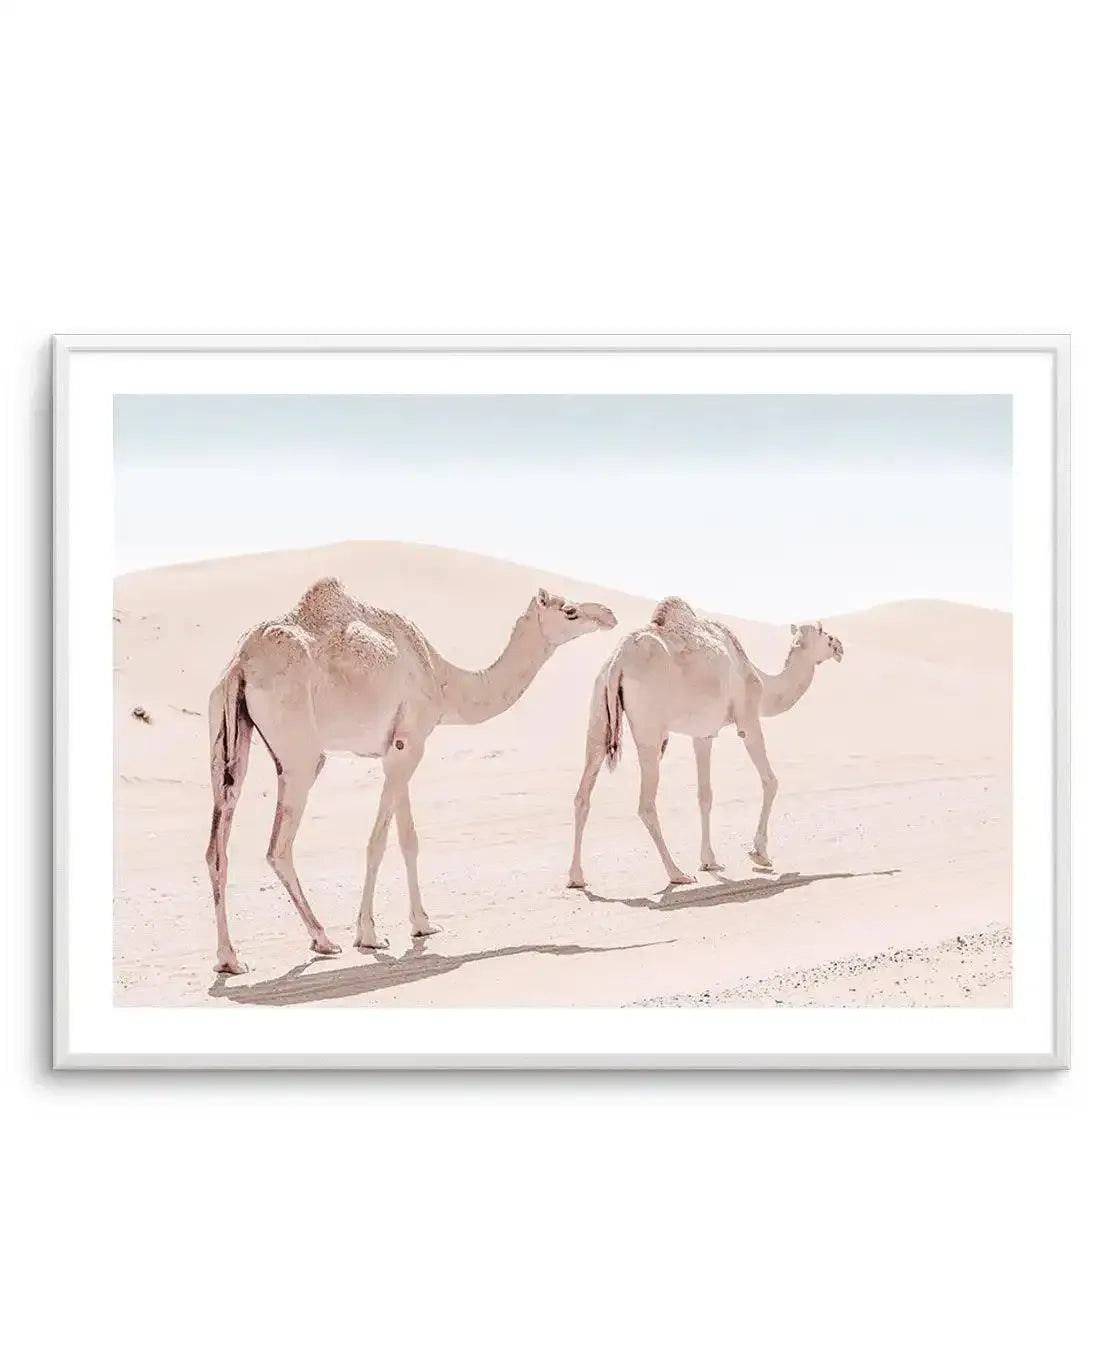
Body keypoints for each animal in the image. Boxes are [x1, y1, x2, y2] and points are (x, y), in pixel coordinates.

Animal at [205, 577, 617, 973]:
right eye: (569, 610)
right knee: (278, 846)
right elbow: (378, 841)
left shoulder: (399, 746)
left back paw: (230, 959)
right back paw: (323, 939)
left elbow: (408, 839)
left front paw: (422, 924)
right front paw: (369, 935)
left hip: (226, 736)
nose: (609, 615)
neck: (441, 679)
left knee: (217, 845)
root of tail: (240, 664)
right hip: (300, 753)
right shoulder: (410, 744)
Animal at [567, 597, 843, 889]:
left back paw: (576, 877)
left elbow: (705, 795)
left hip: (599, 711)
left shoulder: (703, 735)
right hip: (649, 729)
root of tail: (618, 660)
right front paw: (760, 854)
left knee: (583, 792)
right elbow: (770, 781)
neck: (762, 681)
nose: (840, 646)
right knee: (646, 803)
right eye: (826, 634)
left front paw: (709, 860)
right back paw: (676, 873)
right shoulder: (747, 720)